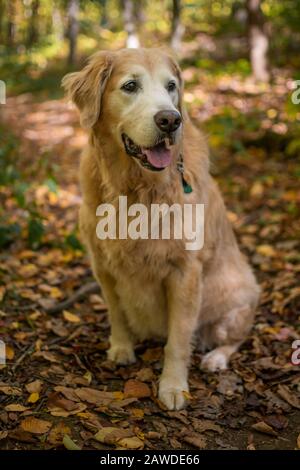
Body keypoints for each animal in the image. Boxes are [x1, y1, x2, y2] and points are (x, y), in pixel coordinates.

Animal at [62, 46, 258, 410]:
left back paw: (215, 358)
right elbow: (116, 313)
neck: (135, 189)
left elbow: (178, 340)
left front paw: (173, 387)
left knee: (235, 338)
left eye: (171, 86)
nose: (170, 120)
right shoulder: (102, 265)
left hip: (235, 300)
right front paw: (121, 348)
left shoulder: (185, 273)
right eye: (130, 86)